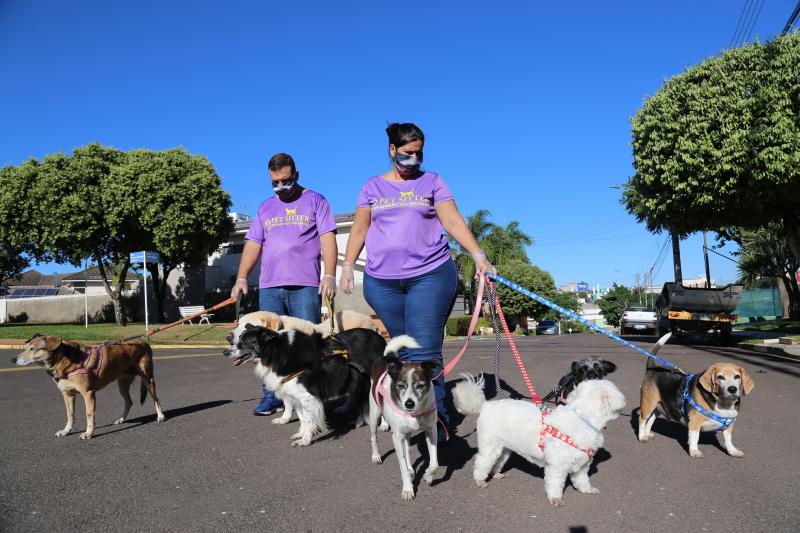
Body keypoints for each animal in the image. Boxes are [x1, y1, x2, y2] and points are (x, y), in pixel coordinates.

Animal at [13, 334, 165, 438]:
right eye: (26, 348)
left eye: (33, 349)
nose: (13, 359)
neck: (64, 360)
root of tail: (143, 341)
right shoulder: (68, 394)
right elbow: (70, 415)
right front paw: (66, 431)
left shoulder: (88, 393)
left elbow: (89, 415)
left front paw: (88, 433)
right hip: (122, 384)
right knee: (129, 401)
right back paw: (121, 419)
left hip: (148, 379)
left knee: (156, 399)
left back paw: (160, 416)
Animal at [225, 324, 388, 444]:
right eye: (238, 340)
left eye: (244, 342)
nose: (225, 352)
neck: (276, 352)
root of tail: (380, 338)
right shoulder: (296, 396)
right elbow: (303, 418)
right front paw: (301, 434)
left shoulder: (308, 397)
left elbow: (309, 419)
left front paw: (305, 440)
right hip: (357, 378)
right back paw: (358, 421)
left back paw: (384, 425)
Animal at [368, 334, 440, 500]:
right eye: (400, 385)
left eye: (420, 385)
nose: (409, 403)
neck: (414, 414)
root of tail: (387, 360)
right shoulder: (397, 436)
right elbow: (401, 467)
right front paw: (407, 489)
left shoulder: (431, 430)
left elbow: (434, 463)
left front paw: (428, 475)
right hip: (374, 413)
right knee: (374, 437)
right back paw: (376, 456)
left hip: (407, 432)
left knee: (407, 448)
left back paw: (411, 468)